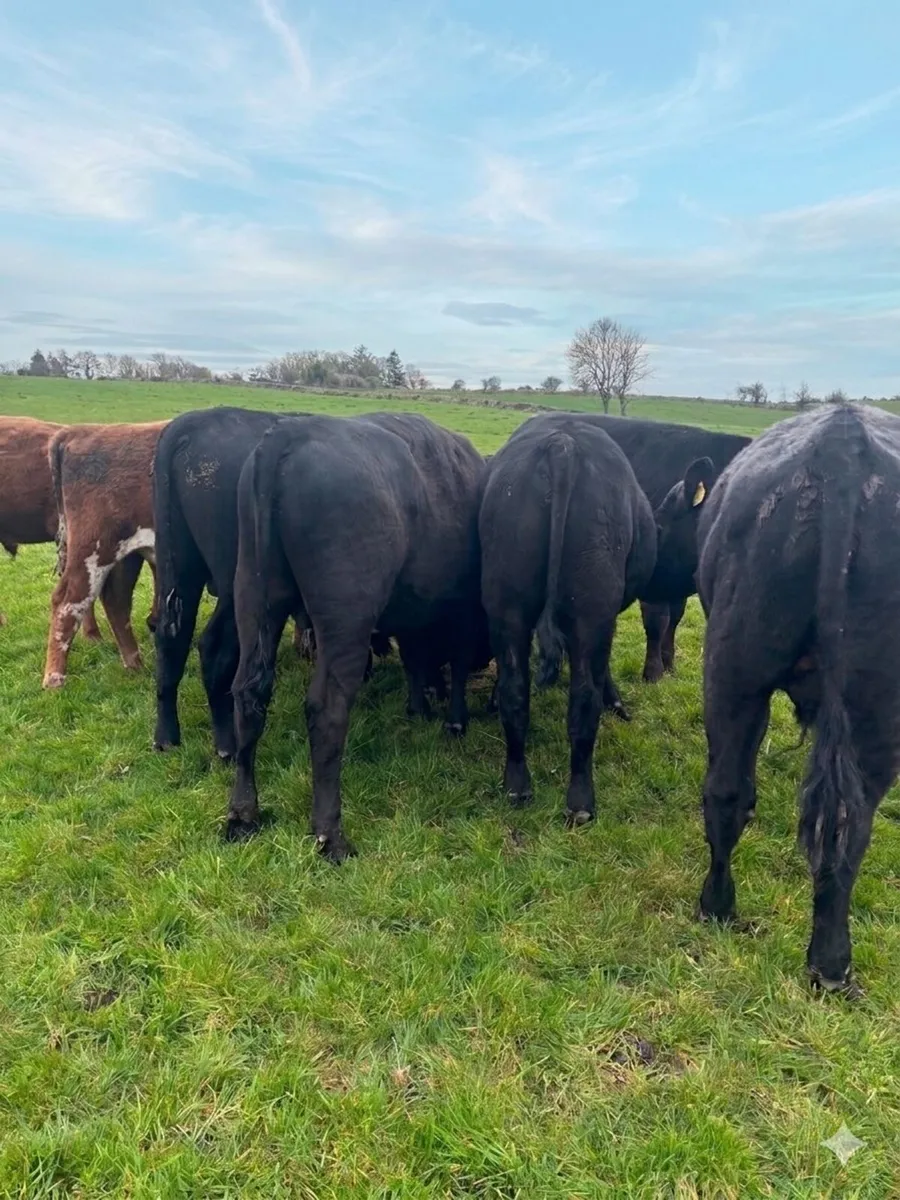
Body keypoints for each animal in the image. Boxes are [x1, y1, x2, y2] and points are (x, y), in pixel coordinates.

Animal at [43, 421, 165, 688]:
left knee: (116, 600)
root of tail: (80, 430)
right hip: (92, 551)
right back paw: (54, 680)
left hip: (125, 555)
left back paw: (135, 665)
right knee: (67, 602)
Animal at [226, 412, 488, 862]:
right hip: (346, 620)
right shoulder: (463, 609)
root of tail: (287, 436)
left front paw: (419, 706)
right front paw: (454, 718)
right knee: (327, 710)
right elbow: (451, 660)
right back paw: (330, 835)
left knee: (248, 694)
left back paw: (243, 813)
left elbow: (415, 658)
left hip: (255, 598)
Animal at [479, 413, 662, 824]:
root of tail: (562, 444)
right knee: (584, 699)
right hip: (592, 613)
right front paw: (616, 701)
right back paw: (580, 801)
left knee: (516, 689)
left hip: (507, 604)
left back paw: (517, 784)